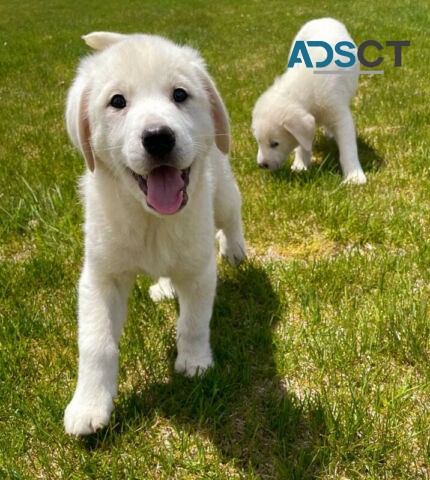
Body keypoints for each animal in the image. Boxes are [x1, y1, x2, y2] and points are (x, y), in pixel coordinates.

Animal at [63, 31, 245, 436]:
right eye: (117, 101)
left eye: (180, 94)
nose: (158, 137)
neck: (151, 220)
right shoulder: (101, 277)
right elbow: (96, 343)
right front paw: (88, 404)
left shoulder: (198, 270)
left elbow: (193, 322)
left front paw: (194, 362)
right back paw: (163, 287)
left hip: (223, 193)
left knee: (232, 214)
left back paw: (236, 249)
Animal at [252, 17, 366, 184]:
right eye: (258, 141)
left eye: (275, 144)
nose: (261, 165)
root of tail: (323, 19)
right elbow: (303, 144)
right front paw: (301, 165)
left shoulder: (339, 116)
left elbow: (348, 148)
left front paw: (354, 176)